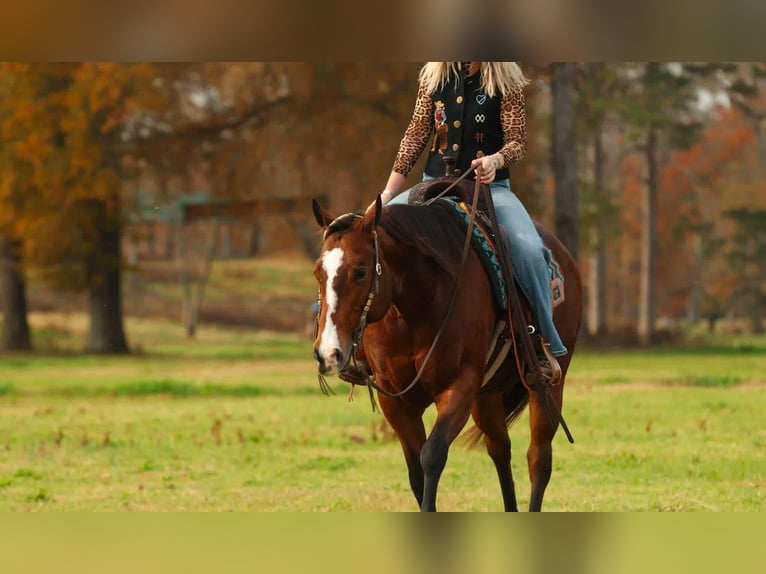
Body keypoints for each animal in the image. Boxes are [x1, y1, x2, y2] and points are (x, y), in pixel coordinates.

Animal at [311, 183, 583, 511]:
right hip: (487, 395)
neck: (415, 306)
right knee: (500, 450)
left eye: (361, 271)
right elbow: (416, 471)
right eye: (317, 272)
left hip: (548, 386)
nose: (328, 352)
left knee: (538, 458)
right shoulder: (395, 400)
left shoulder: (459, 386)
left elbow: (432, 456)